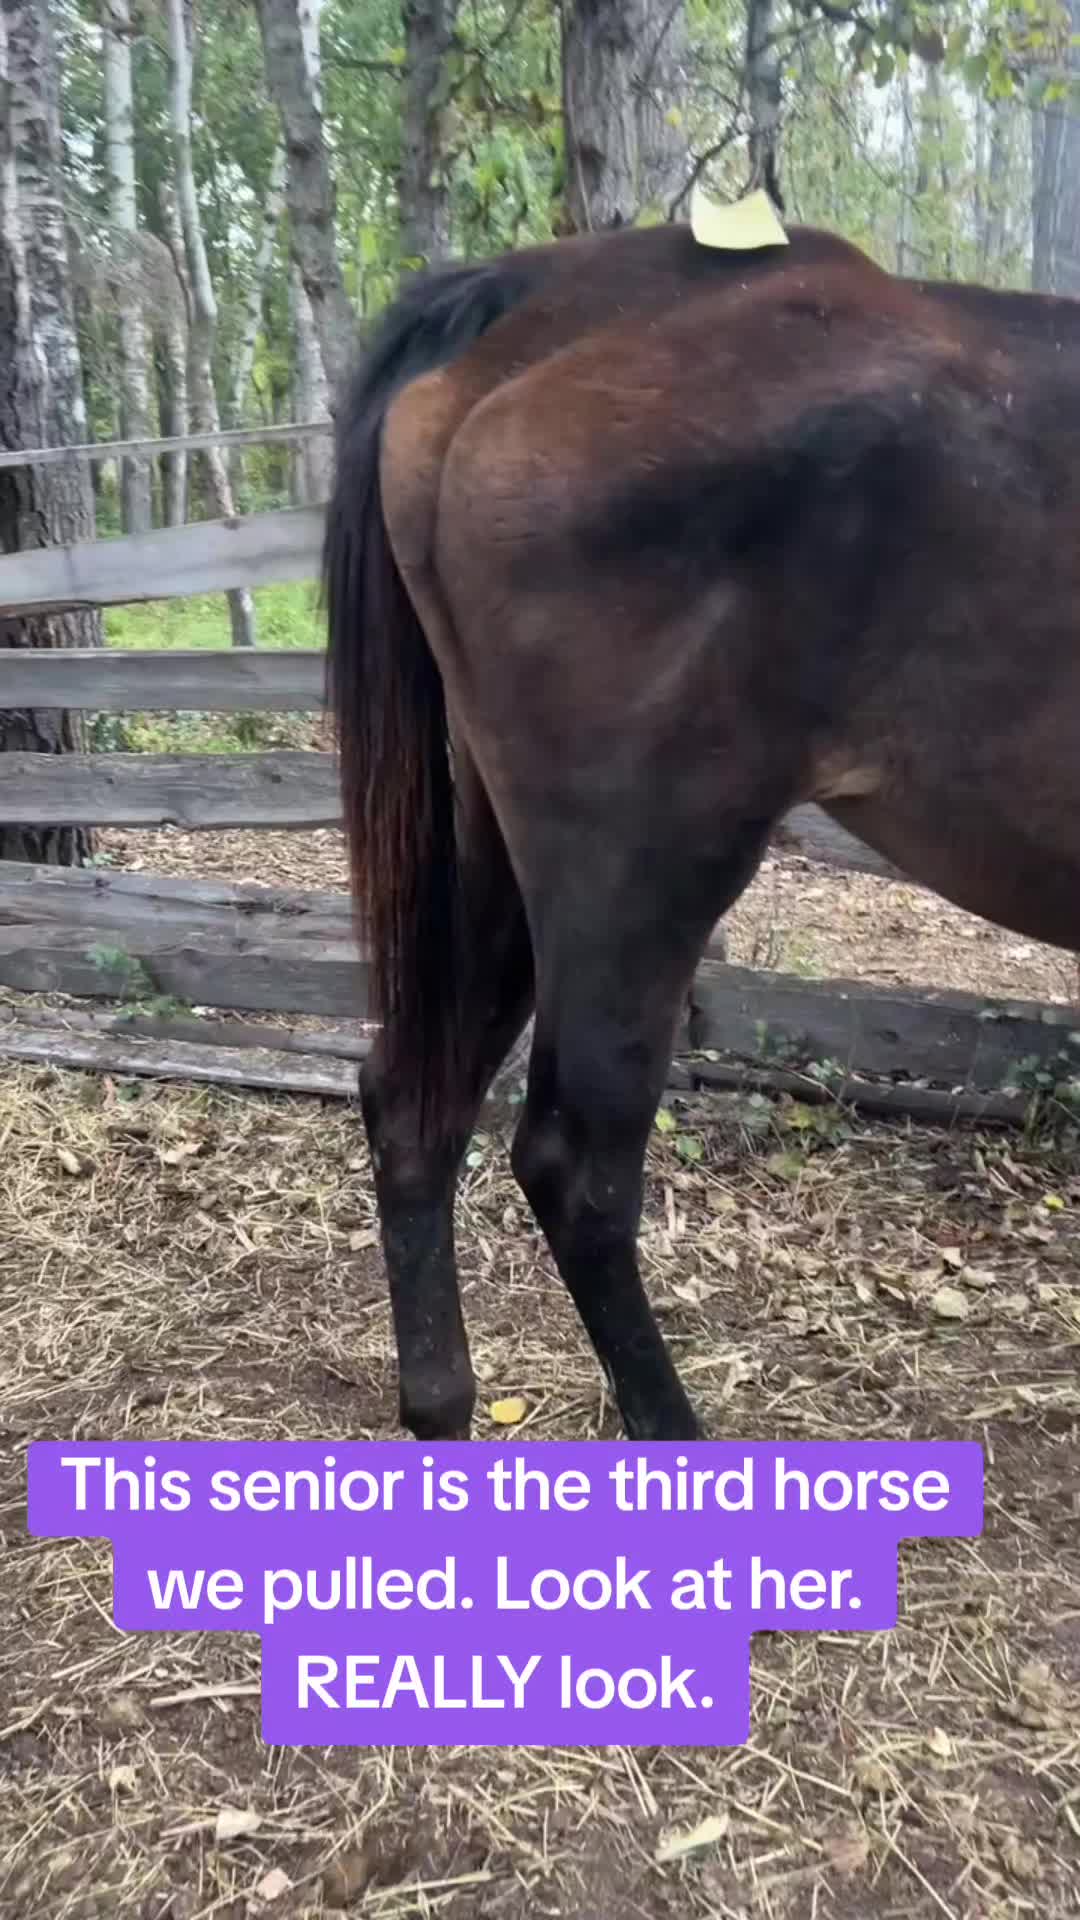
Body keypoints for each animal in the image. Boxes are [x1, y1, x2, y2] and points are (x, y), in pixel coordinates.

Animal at [323, 218, 1080, 1445]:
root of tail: (544, 298)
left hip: (512, 859)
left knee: (412, 1103)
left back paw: (442, 1403)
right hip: (649, 867)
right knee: (574, 1164)